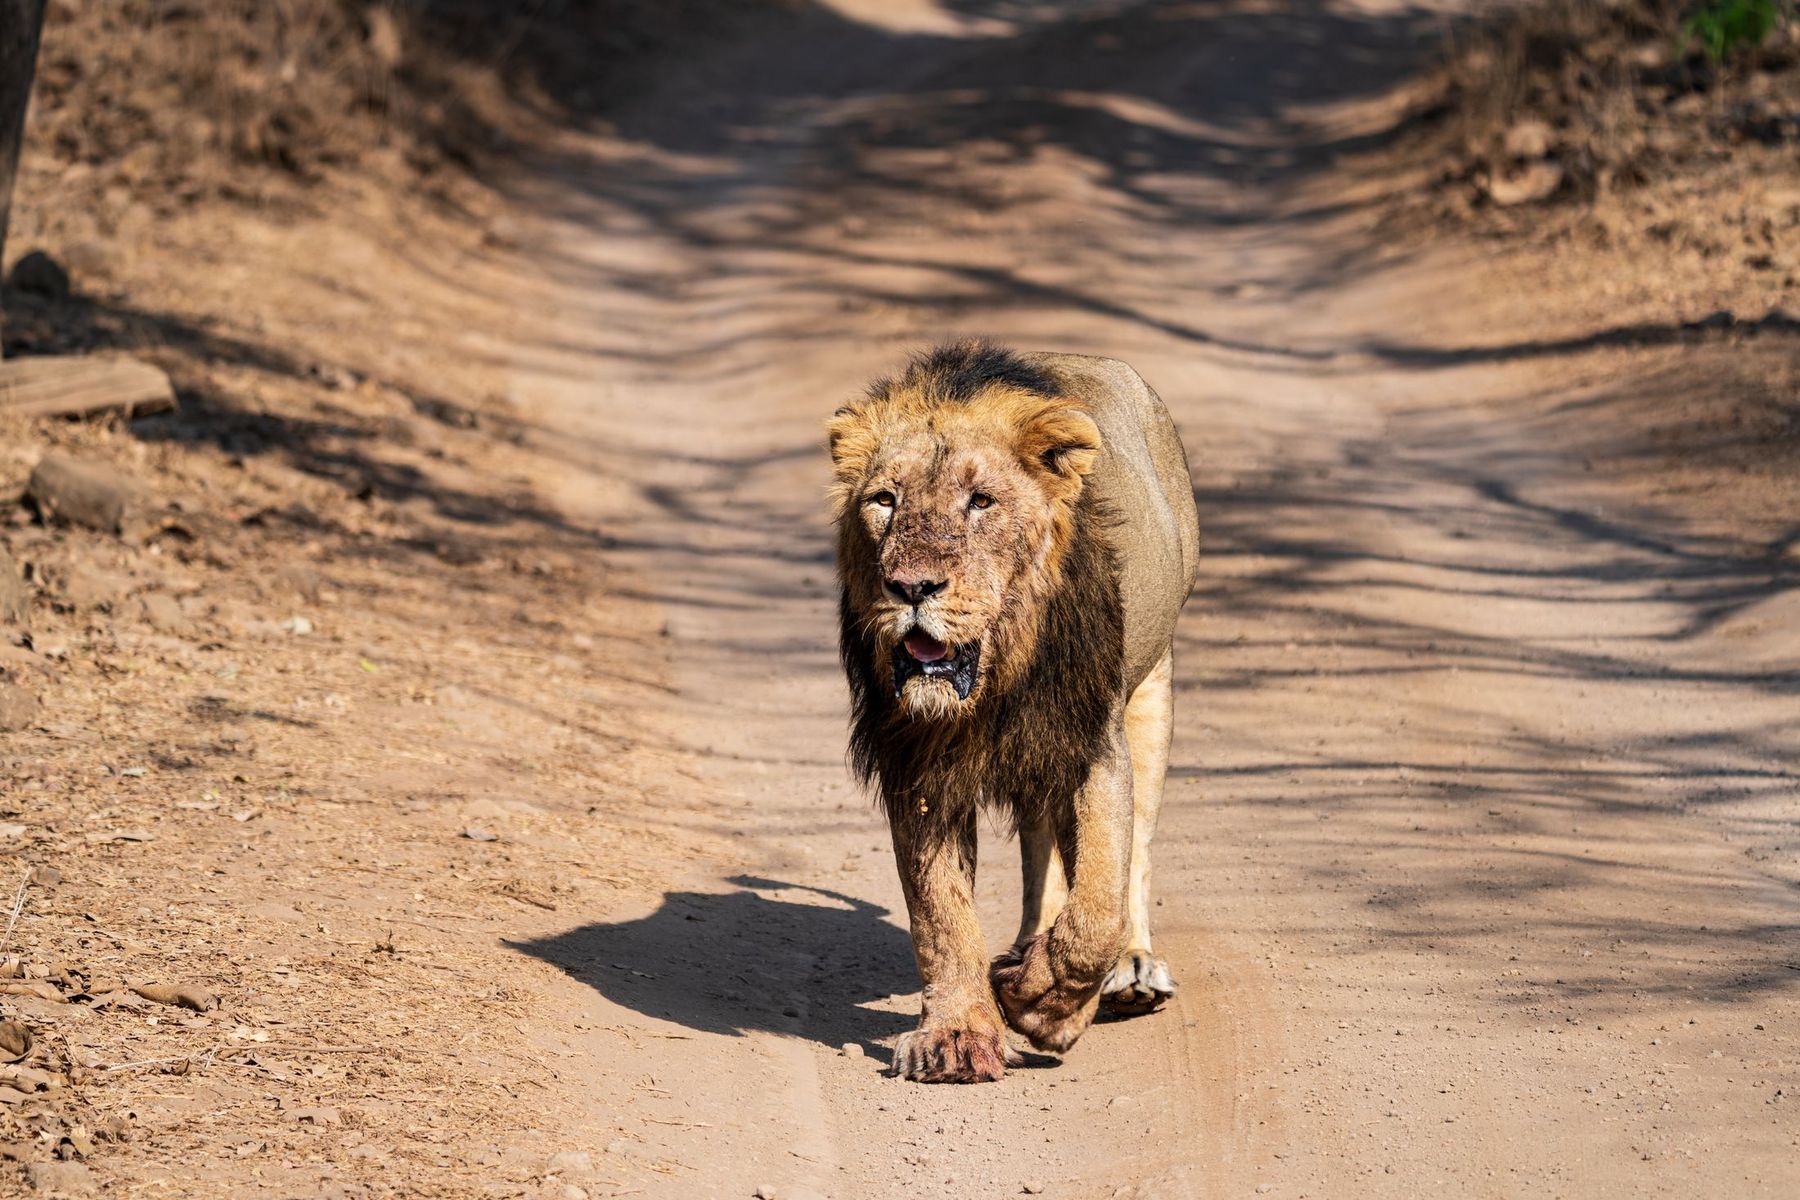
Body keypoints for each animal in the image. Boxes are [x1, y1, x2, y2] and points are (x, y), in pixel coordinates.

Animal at [828, 341, 1200, 1083]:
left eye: (981, 501)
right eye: (885, 500)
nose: (911, 586)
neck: (998, 676)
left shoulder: (1093, 739)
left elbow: (1098, 907)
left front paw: (1046, 1007)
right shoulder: (917, 761)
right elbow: (940, 915)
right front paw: (957, 1036)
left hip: (1152, 688)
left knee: (1136, 847)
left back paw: (1131, 970)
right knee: (1039, 850)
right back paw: (1028, 947)